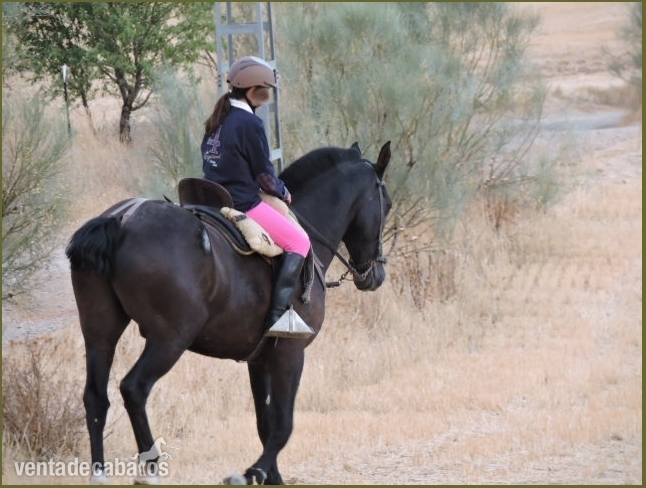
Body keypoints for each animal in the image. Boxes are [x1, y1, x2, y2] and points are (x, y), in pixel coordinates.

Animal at [66, 141, 392, 485]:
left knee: (95, 396)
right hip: (169, 339)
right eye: (388, 204)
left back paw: (99, 473)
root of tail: (123, 220)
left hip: (100, 332)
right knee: (134, 388)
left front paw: (270, 477)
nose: (376, 276)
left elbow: (265, 423)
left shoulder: (259, 359)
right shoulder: (290, 354)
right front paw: (254, 472)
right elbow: (283, 425)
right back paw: (150, 468)